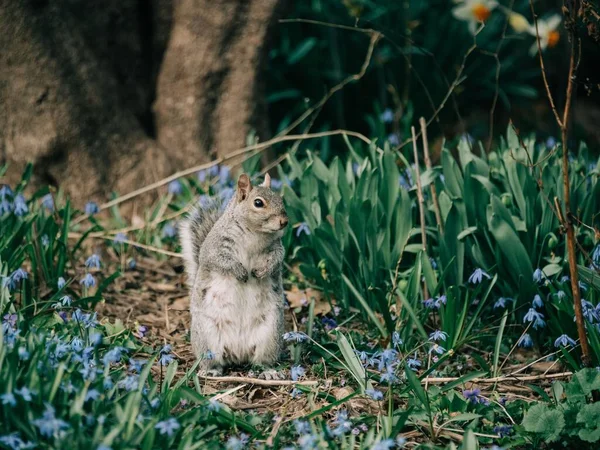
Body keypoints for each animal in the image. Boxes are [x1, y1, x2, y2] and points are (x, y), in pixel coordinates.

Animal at [178, 171, 288, 372]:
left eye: (280, 198)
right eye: (258, 203)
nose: (284, 222)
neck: (256, 232)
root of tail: (238, 353)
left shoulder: (276, 248)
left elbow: (277, 259)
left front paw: (262, 271)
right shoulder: (215, 247)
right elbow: (220, 260)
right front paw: (240, 272)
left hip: (270, 334)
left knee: (262, 360)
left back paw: (268, 371)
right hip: (207, 337)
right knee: (211, 359)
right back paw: (211, 370)